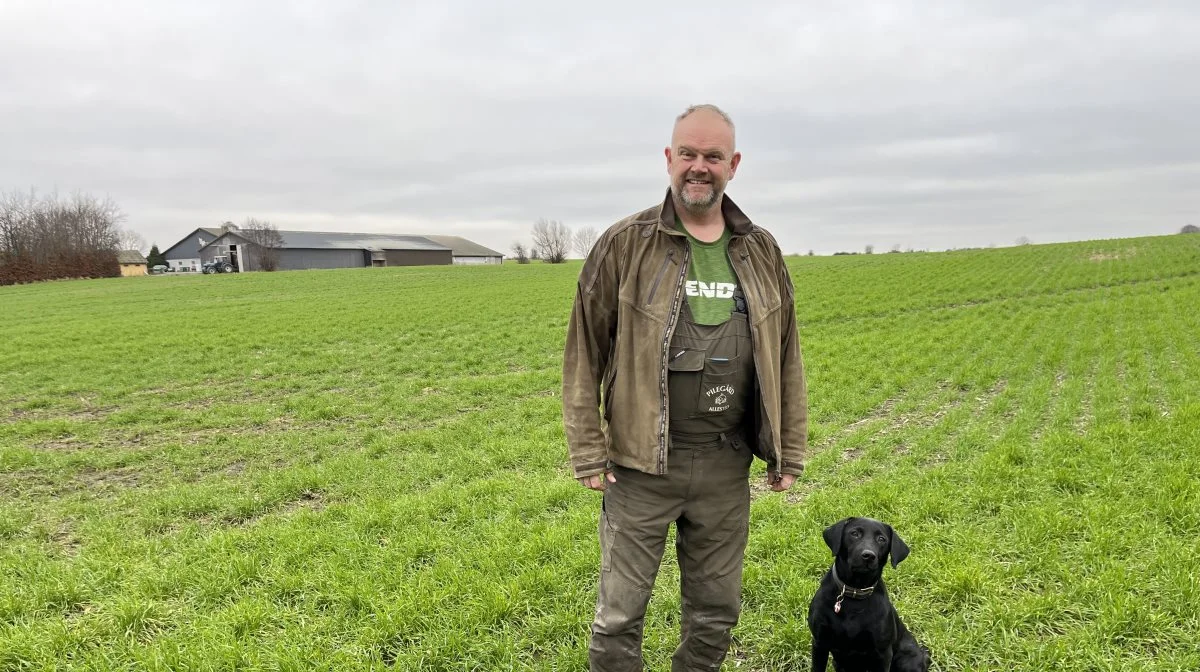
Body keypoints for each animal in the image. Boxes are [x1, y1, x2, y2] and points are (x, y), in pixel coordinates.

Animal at [811, 516, 931, 667]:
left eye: (881, 539)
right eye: (855, 533)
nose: (869, 556)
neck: (855, 592)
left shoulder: (883, 653)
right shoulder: (819, 643)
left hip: (906, 660)